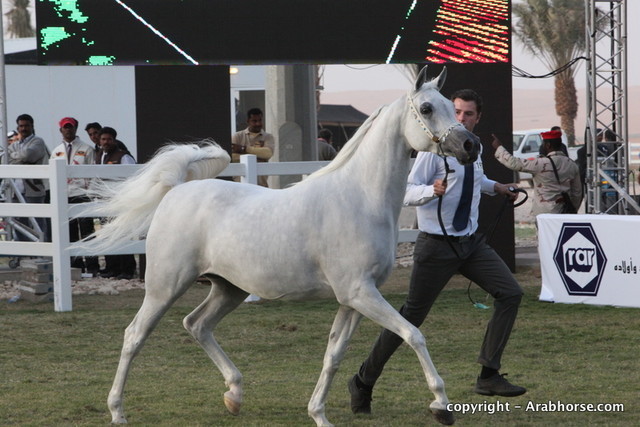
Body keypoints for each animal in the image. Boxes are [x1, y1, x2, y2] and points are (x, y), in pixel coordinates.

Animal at [96, 66, 480, 426]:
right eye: (427, 108)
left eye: (453, 107)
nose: (470, 146)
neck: (359, 198)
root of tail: (176, 190)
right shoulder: (360, 293)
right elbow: (413, 335)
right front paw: (441, 405)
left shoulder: (354, 300)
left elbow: (334, 355)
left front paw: (319, 414)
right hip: (165, 287)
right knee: (135, 336)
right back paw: (117, 410)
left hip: (229, 288)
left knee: (197, 324)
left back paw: (234, 394)